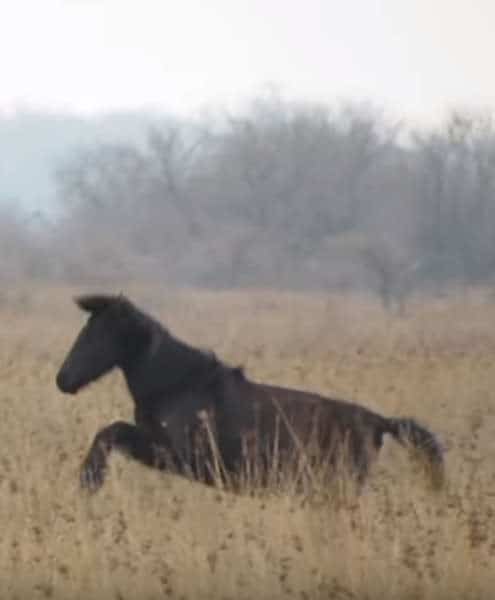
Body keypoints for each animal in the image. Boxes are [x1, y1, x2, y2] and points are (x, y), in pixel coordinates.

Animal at [55, 292, 446, 494]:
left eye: (96, 334)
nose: (63, 380)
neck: (178, 386)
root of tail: (379, 422)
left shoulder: (178, 455)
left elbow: (112, 431)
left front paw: (89, 480)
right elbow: (112, 430)